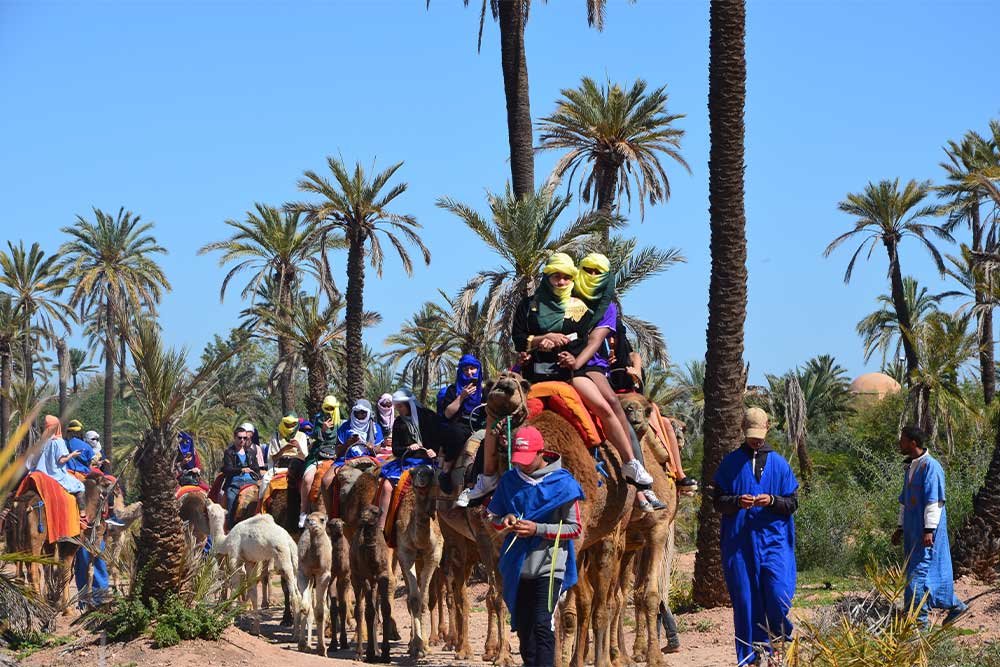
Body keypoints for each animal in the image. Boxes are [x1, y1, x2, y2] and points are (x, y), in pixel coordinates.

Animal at [5, 472, 114, 612]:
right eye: (105, 493)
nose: (104, 526)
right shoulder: (72, 541)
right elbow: (66, 571)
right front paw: (67, 608)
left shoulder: (53, 542)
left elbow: (54, 568)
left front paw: (56, 601)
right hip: (35, 540)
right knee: (34, 571)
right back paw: (41, 604)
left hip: (17, 538)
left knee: (22, 571)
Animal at [206, 500, 300, 636]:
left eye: (208, 510)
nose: (207, 500)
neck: (225, 541)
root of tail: (290, 541)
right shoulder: (251, 562)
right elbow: (253, 593)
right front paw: (255, 629)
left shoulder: (235, 558)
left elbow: (235, 588)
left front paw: (229, 620)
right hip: (294, 561)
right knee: (299, 593)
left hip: (283, 557)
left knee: (293, 594)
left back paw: (295, 633)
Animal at [294, 512, 334, 656]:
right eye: (308, 519)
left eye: (322, 519)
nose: (311, 523)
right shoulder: (303, 573)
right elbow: (305, 608)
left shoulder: (324, 575)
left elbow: (321, 612)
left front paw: (322, 649)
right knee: (308, 608)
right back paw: (304, 644)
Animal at [352, 506, 394, 664]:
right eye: (363, 511)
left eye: (375, 512)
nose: (363, 518)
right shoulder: (365, 577)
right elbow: (369, 612)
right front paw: (369, 653)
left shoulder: (384, 576)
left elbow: (386, 609)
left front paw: (385, 654)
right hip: (355, 577)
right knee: (359, 610)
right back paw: (359, 653)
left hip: (374, 583)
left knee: (375, 610)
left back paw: (377, 650)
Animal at [386, 464, 442, 656]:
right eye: (415, 472)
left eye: (430, 472)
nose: (421, 479)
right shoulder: (405, 552)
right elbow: (414, 600)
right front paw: (417, 647)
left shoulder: (434, 554)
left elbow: (424, 600)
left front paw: (423, 645)